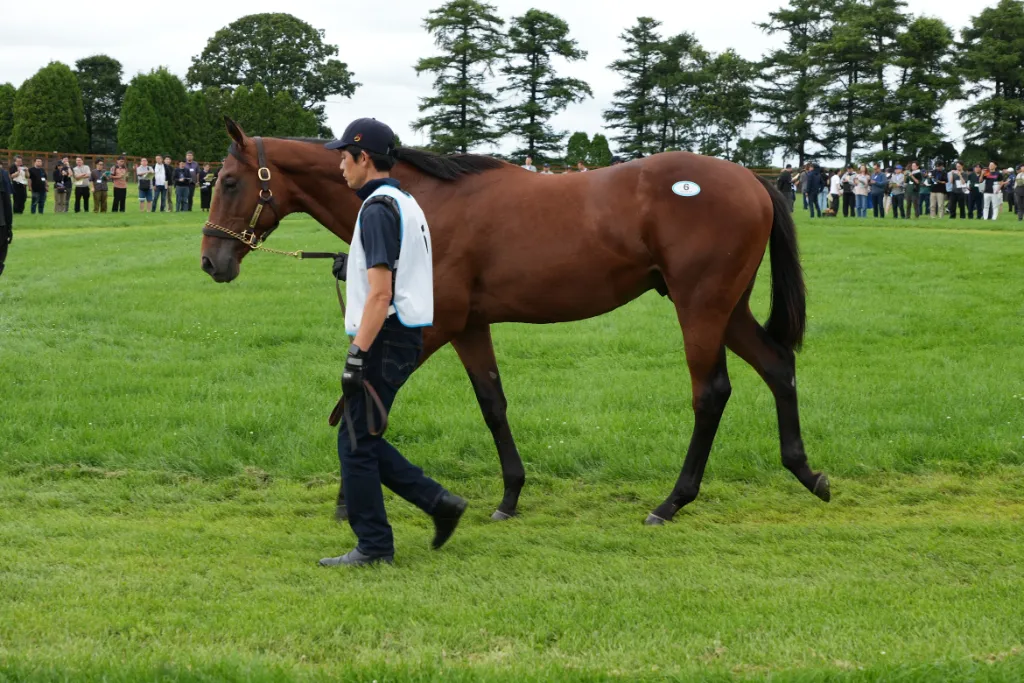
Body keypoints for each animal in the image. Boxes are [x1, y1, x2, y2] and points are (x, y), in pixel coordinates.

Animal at [200, 117, 831, 526]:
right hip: (727, 308)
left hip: (699, 305)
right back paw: (805, 472)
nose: (211, 261)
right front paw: (510, 495)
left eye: (227, 182)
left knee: (712, 392)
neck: (419, 200)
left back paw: (672, 501)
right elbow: (492, 403)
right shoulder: (469, 326)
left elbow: (364, 394)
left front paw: (346, 496)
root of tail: (754, 181)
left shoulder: (433, 325)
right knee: (778, 365)